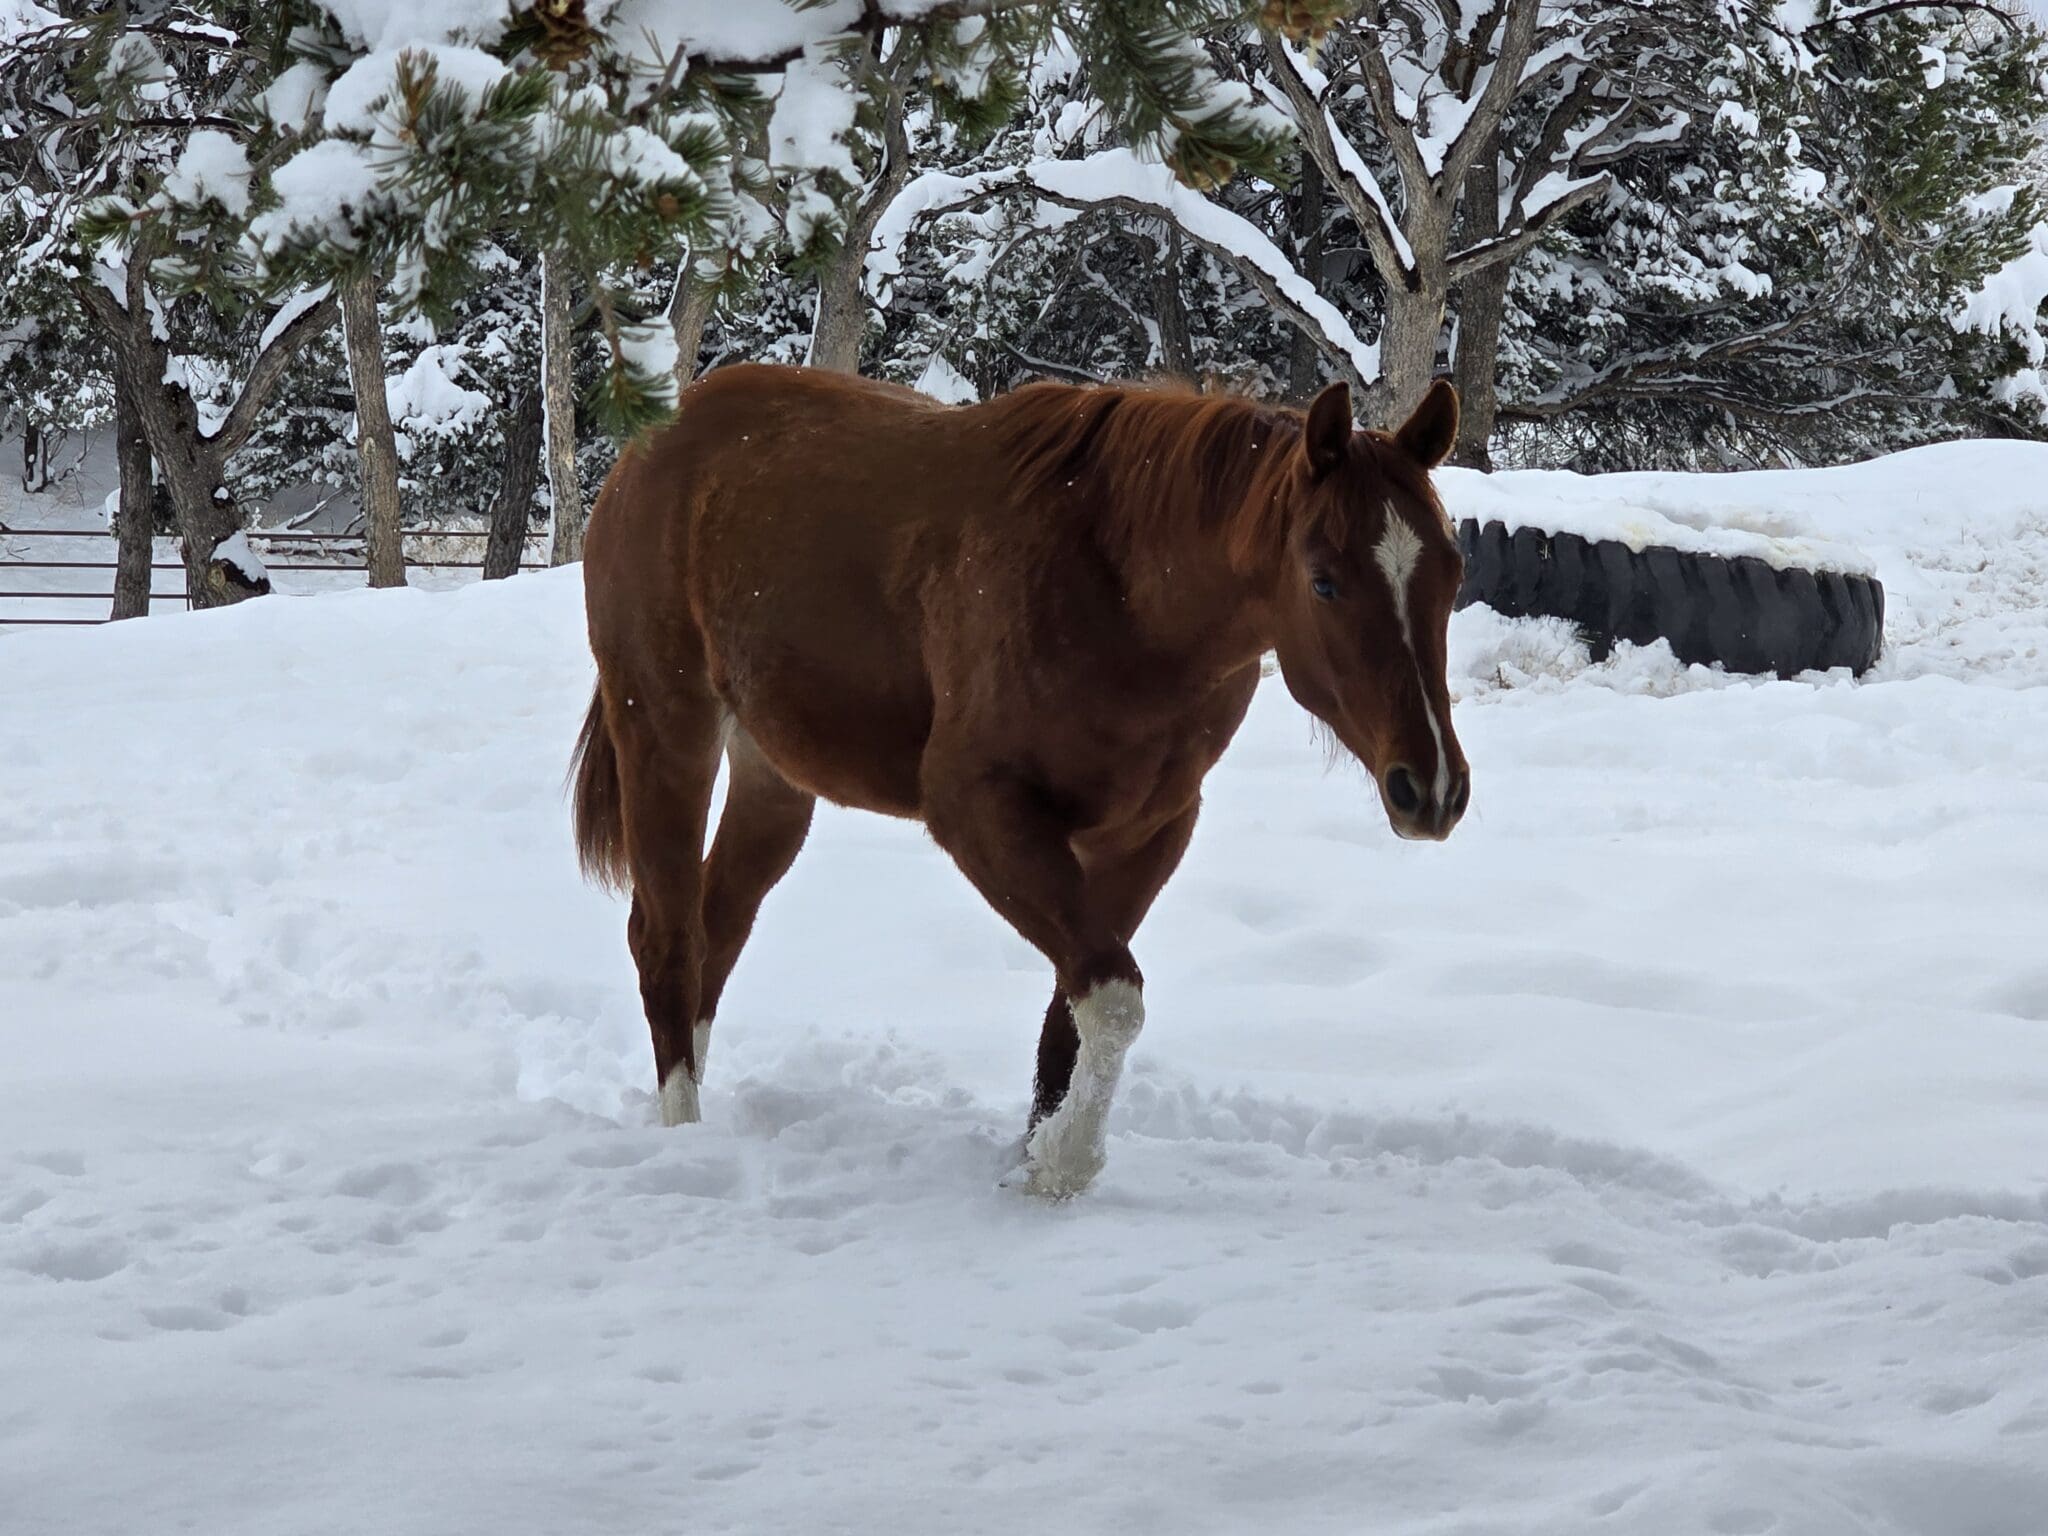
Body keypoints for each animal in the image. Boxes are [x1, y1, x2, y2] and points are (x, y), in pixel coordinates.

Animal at [571, 363, 1470, 1196]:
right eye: (1323, 579)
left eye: (1453, 571)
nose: (1431, 788)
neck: (1118, 588)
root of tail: (655, 436)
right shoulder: (980, 812)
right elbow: (1113, 996)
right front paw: (1063, 1165)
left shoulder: (1146, 831)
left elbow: (1072, 1013)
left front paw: (1036, 1156)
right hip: (668, 734)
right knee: (668, 940)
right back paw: (681, 1135)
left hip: (774, 778)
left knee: (718, 930)